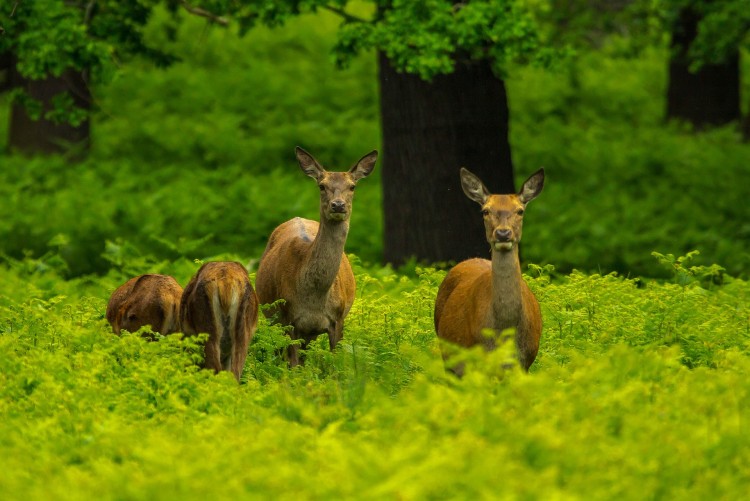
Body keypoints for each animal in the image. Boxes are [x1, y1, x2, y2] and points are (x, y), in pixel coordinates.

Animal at [255, 146, 377, 367]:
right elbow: (293, 365)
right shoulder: (288, 319)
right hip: (273, 320)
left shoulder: (338, 319)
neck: (313, 299)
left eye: (352, 186)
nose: (338, 205)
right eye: (322, 186)